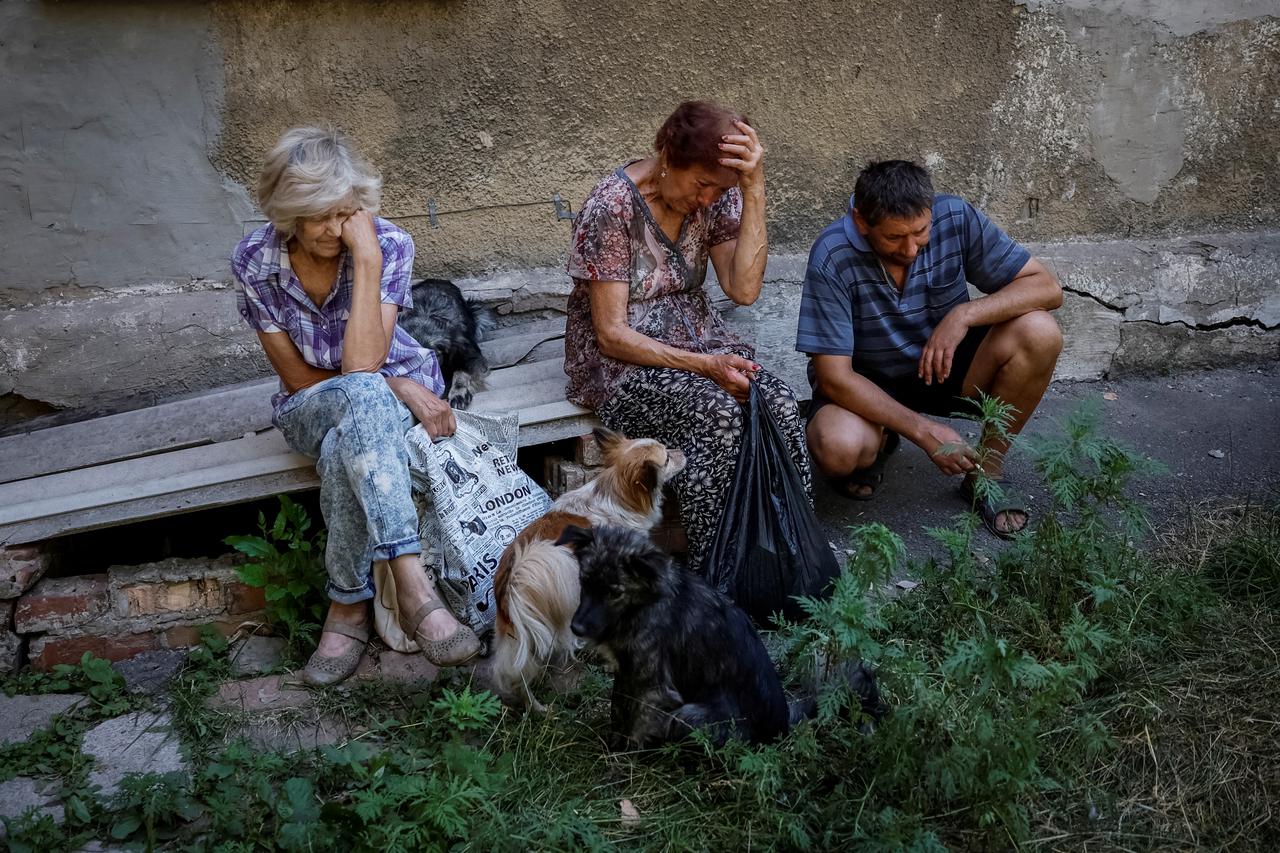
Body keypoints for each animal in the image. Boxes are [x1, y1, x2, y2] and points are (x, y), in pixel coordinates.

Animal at [488, 422, 686, 706]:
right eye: (667, 458)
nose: (684, 452)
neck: (615, 496)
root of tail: (511, 579)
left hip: (518, 634)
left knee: (517, 673)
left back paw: (533, 706)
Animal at [558, 522, 788, 747]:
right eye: (583, 581)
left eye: (615, 593)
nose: (576, 628)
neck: (641, 606)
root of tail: (777, 734)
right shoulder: (626, 672)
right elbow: (618, 711)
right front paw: (611, 746)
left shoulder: (654, 689)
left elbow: (635, 730)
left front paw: (624, 756)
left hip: (687, 714)